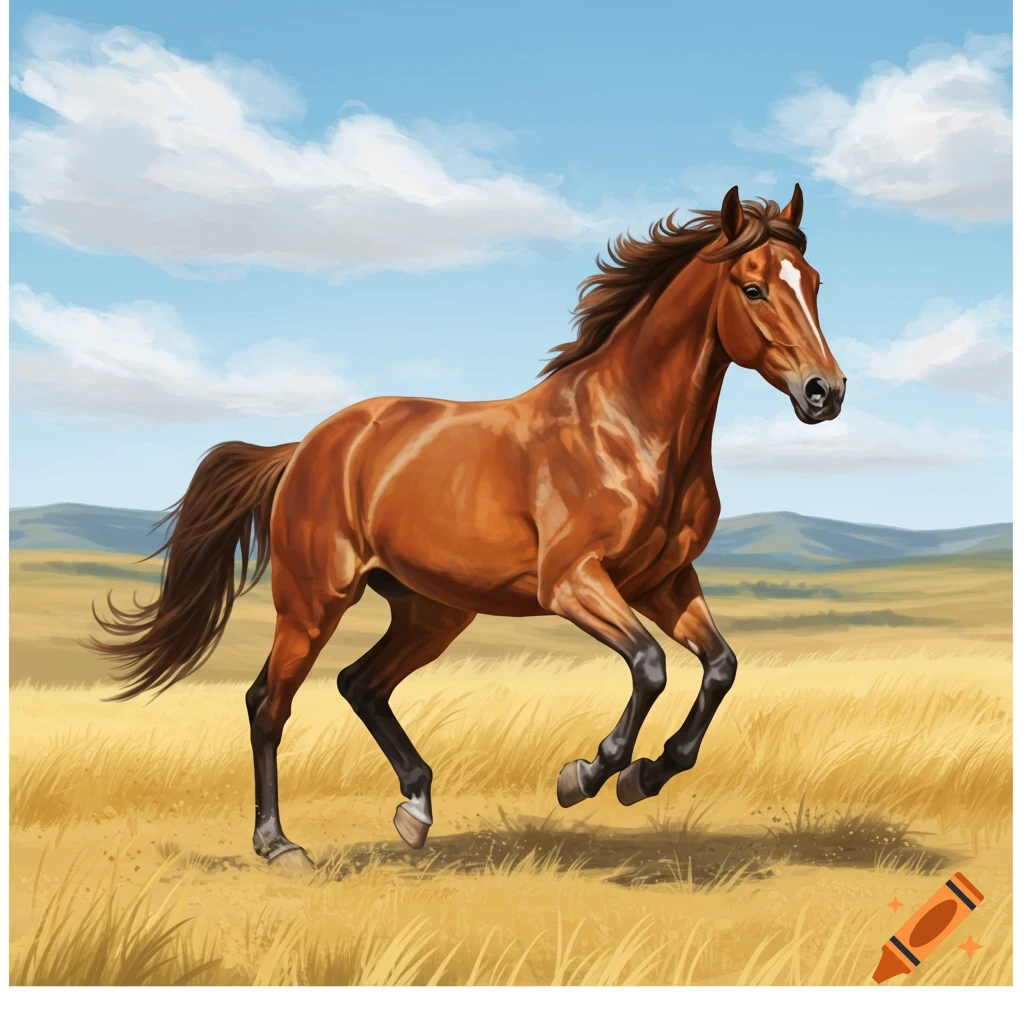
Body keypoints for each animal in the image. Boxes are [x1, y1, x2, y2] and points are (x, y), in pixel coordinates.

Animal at [88, 184, 846, 873]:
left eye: (813, 284)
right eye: (753, 288)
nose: (825, 392)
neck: (627, 430)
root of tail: (305, 448)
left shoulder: (664, 581)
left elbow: (719, 667)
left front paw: (646, 775)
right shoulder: (573, 583)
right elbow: (650, 666)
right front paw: (585, 775)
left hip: (432, 611)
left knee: (361, 684)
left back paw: (416, 809)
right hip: (312, 603)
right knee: (268, 703)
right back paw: (280, 845)